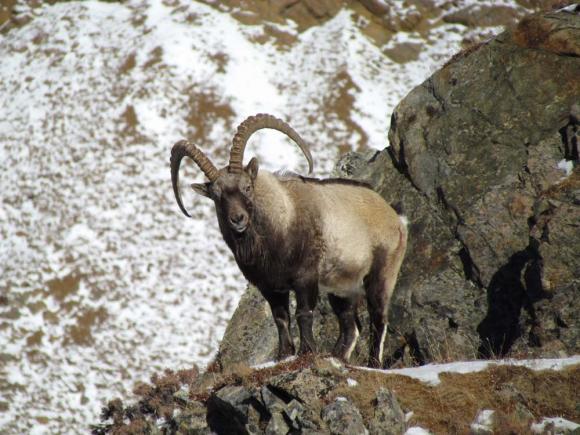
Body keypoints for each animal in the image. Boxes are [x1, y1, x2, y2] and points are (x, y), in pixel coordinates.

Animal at [172, 115, 408, 368]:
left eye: (247, 187)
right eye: (217, 196)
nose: (238, 219)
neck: (282, 222)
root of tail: (396, 218)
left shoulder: (305, 277)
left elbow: (303, 313)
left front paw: (306, 352)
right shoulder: (270, 286)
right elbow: (281, 318)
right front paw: (283, 355)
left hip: (381, 274)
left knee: (379, 318)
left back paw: (373, 363)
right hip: (343, 289)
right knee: (350, 326)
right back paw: (336, 358)